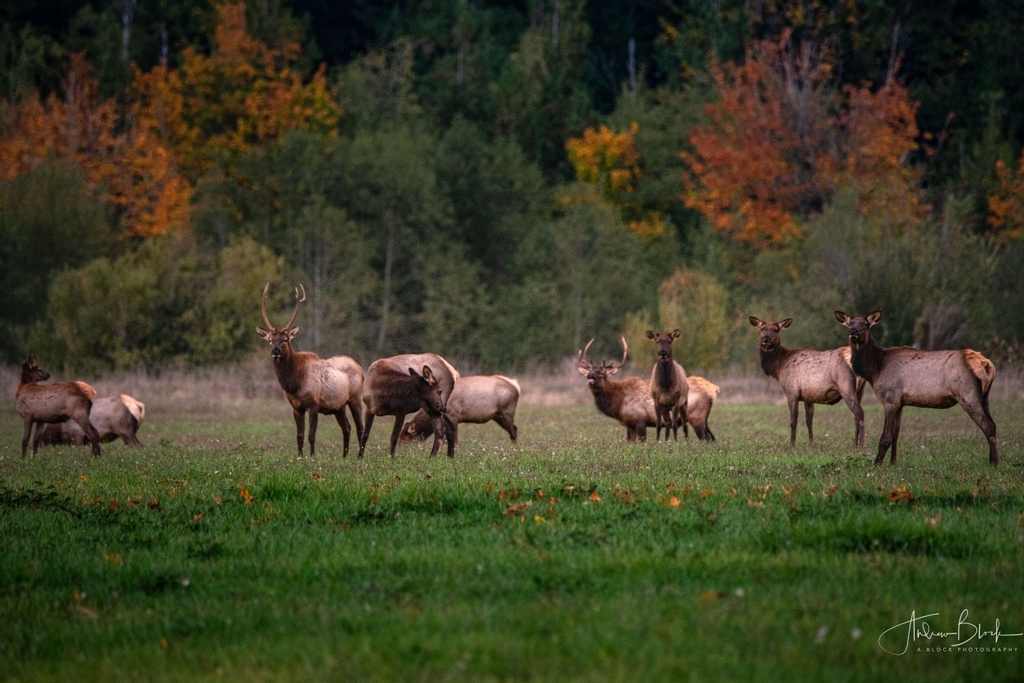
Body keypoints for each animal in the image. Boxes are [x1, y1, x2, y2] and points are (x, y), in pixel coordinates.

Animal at [257, 283, 364, 457]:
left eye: (285, 339)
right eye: (270, 340)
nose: (276, 350)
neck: (294, 383)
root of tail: (361, 369)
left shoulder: (314, 404)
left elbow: (311, 434)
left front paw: (312, 456)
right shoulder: (296, 407)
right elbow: (299, 435)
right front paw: (300, 457)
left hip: (355, 398)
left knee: (360, 427)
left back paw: (360, 456)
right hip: (338, 406)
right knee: (347, 427)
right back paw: (344, 456)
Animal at [749, 316, 866, 447]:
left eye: (776, 330)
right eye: (762, 328)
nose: (766, 338)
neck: (779, 366)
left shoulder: (792, 392)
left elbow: (793, 421)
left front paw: (792, 444)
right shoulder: (808, 396)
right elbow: (809, 420)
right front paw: (811, 443)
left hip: (846, 386)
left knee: (859, 412)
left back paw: (861, 445)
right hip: (860, 389)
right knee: (856, 416)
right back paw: (855, 444)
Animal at [835, 310, 999, 467]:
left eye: (866, 324)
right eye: (849, 323)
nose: (853, 331)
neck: (875, 369)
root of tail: (987, 364)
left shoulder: (890, 399)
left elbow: (885, 437)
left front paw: (877, 463)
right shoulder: (900, 403)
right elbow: (895, 435)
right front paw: (893, 462)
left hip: (968, 394)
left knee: (988, 425)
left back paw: (995, 463)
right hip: (985, 397)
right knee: (994, 425)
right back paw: (994, 460)